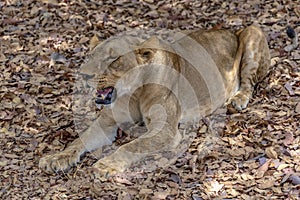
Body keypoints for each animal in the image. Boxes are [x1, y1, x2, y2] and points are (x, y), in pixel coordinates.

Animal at [38, 25, 270, 178]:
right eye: (91, 56)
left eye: (114, 59)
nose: (84, 75)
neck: (134, 93)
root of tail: (231, 31)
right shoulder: (106, 123)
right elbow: (80, 139)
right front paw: (56, 157)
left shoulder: (165, 130)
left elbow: (132, 145)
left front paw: (107, 164)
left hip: (253, 32)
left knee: (248, 83)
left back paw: (237, 99)